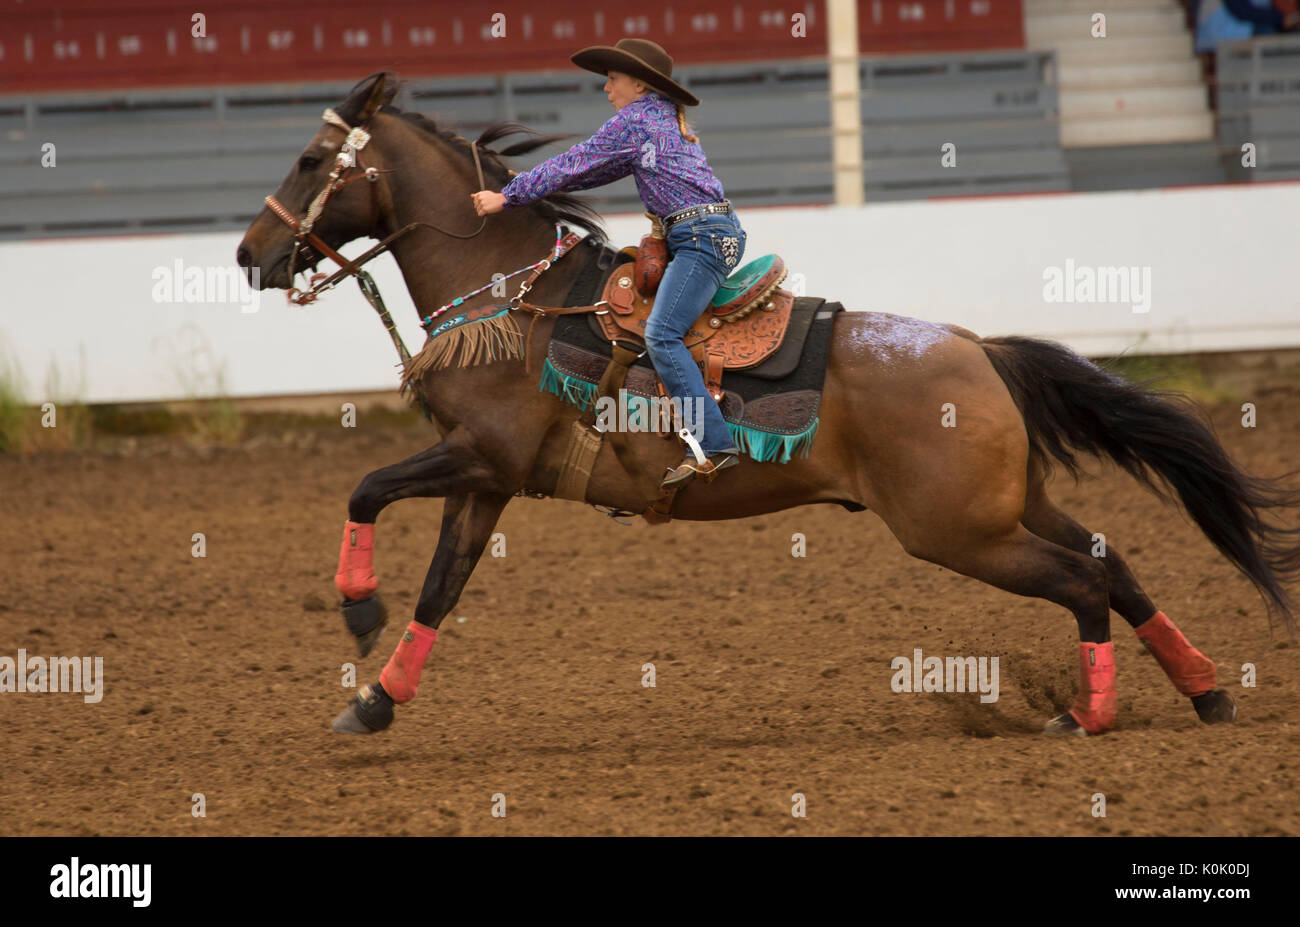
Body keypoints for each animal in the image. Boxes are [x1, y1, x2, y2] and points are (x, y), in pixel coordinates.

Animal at [236, 72, 1300, 738]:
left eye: (309, 160)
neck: (513, 294)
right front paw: (374, 700)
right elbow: (440, 588)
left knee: (1084, 583)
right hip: (1010, 506)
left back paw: (1090, 714)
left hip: (960, 530)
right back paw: (1206, 692)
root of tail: (979, 350)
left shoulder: (480, 455)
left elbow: (367, 490)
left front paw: (357, 615)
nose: (252, 254)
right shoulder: (489, 476)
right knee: (1113, 565)